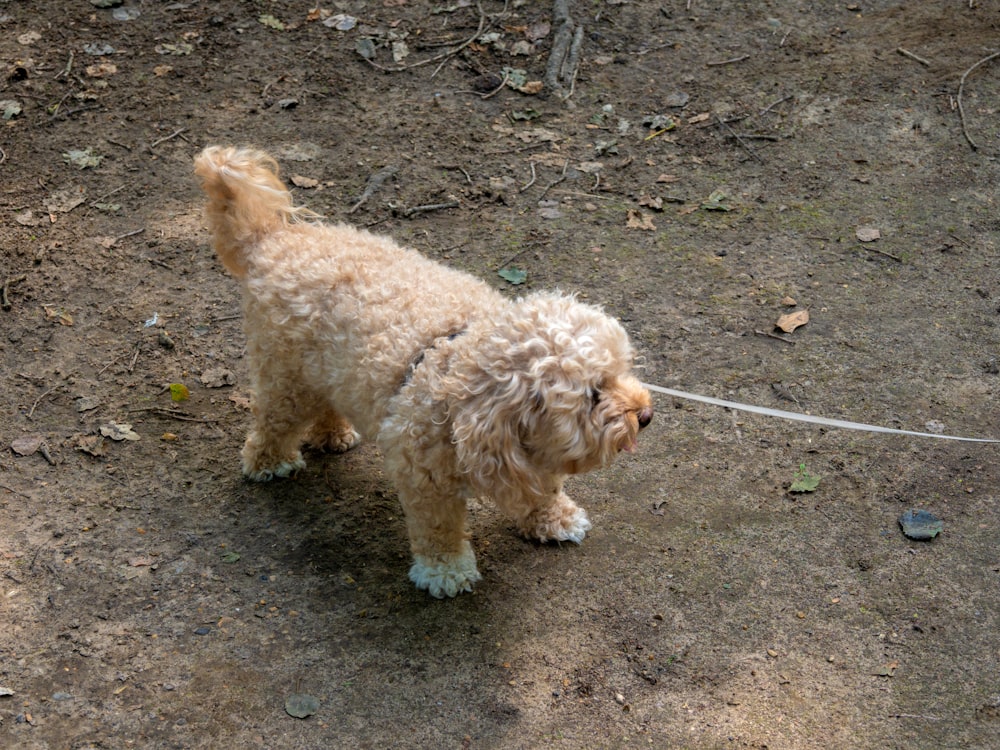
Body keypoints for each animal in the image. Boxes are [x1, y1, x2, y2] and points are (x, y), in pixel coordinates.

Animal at [193, 145, 656, 600]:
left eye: (620, 371)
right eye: (593, 395)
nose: (646, 415)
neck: (459, 376)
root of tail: (273, 239)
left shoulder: (536, 451)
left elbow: (546, 487)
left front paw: (555, 518)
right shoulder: (424, 476)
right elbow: (439, 529)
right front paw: (446, 571)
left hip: (325, 369)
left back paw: (333, 434)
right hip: (284, 376)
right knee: (273, 422)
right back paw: (270, 463)